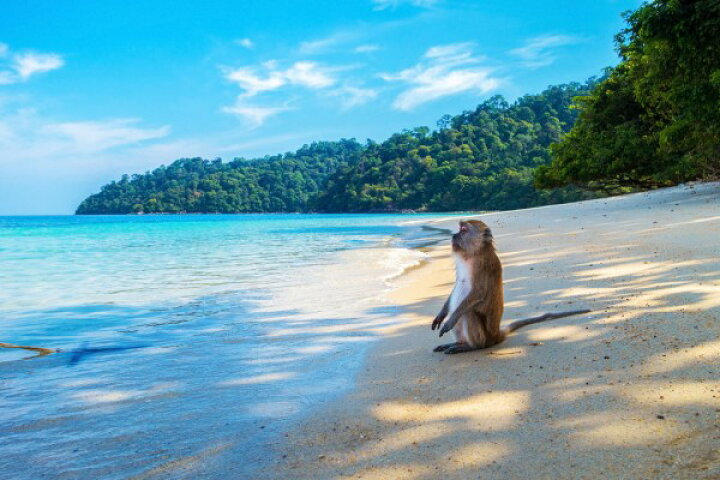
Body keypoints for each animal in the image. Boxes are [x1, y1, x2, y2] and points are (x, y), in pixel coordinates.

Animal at [430, 220, 590, 354]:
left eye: (463, 230)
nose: (453, 235)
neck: (473, 253)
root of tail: (496, 336)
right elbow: (457, 285)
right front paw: (441, 315)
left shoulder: (482, 265)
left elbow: (478, 293)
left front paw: (450, 320)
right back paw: (458, 343)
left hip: (485, 338)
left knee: (468, 312)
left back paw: (471, 346)